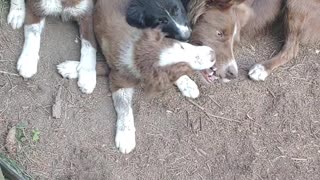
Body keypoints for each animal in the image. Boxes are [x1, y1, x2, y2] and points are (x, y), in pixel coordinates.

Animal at [58, 0, 216, 153]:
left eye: (181, 46)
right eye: (183, 67)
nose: (213, 54)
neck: (136, 50)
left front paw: (187, 84)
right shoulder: (118, 80)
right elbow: (124, 108)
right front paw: (126, 136)